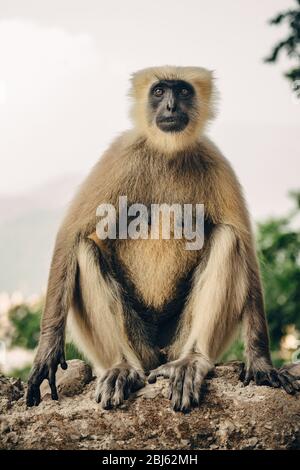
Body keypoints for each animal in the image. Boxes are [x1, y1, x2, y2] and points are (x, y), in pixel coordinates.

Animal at [27, 66, 298, 412]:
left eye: (181, 91)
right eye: (159, 92)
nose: (170, 106)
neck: (168, 152)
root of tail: (156, 357)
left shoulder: (213, 159)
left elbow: (247, 253)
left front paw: (261, 364)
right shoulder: (122, 152)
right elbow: (70, 234)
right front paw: (47, 351)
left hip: (176, 342)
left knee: (228, 239)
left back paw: (191, 361)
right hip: (139, 346)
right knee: (84, 248)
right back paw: (121, 367)